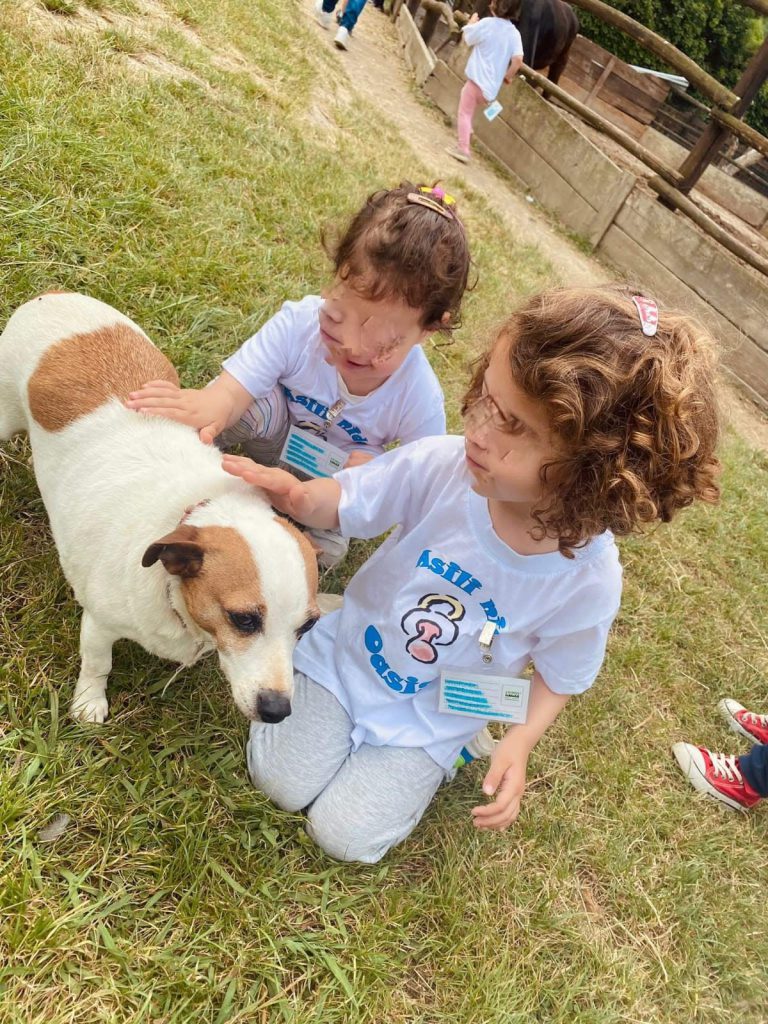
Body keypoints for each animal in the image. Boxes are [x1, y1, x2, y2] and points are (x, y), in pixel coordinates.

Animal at [0, 292, 319, 724]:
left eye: (307, 627)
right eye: (244, 620)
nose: (277, 710)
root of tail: (53, 294)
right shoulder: (99, 624)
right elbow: (97, 663)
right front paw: (89, 701)